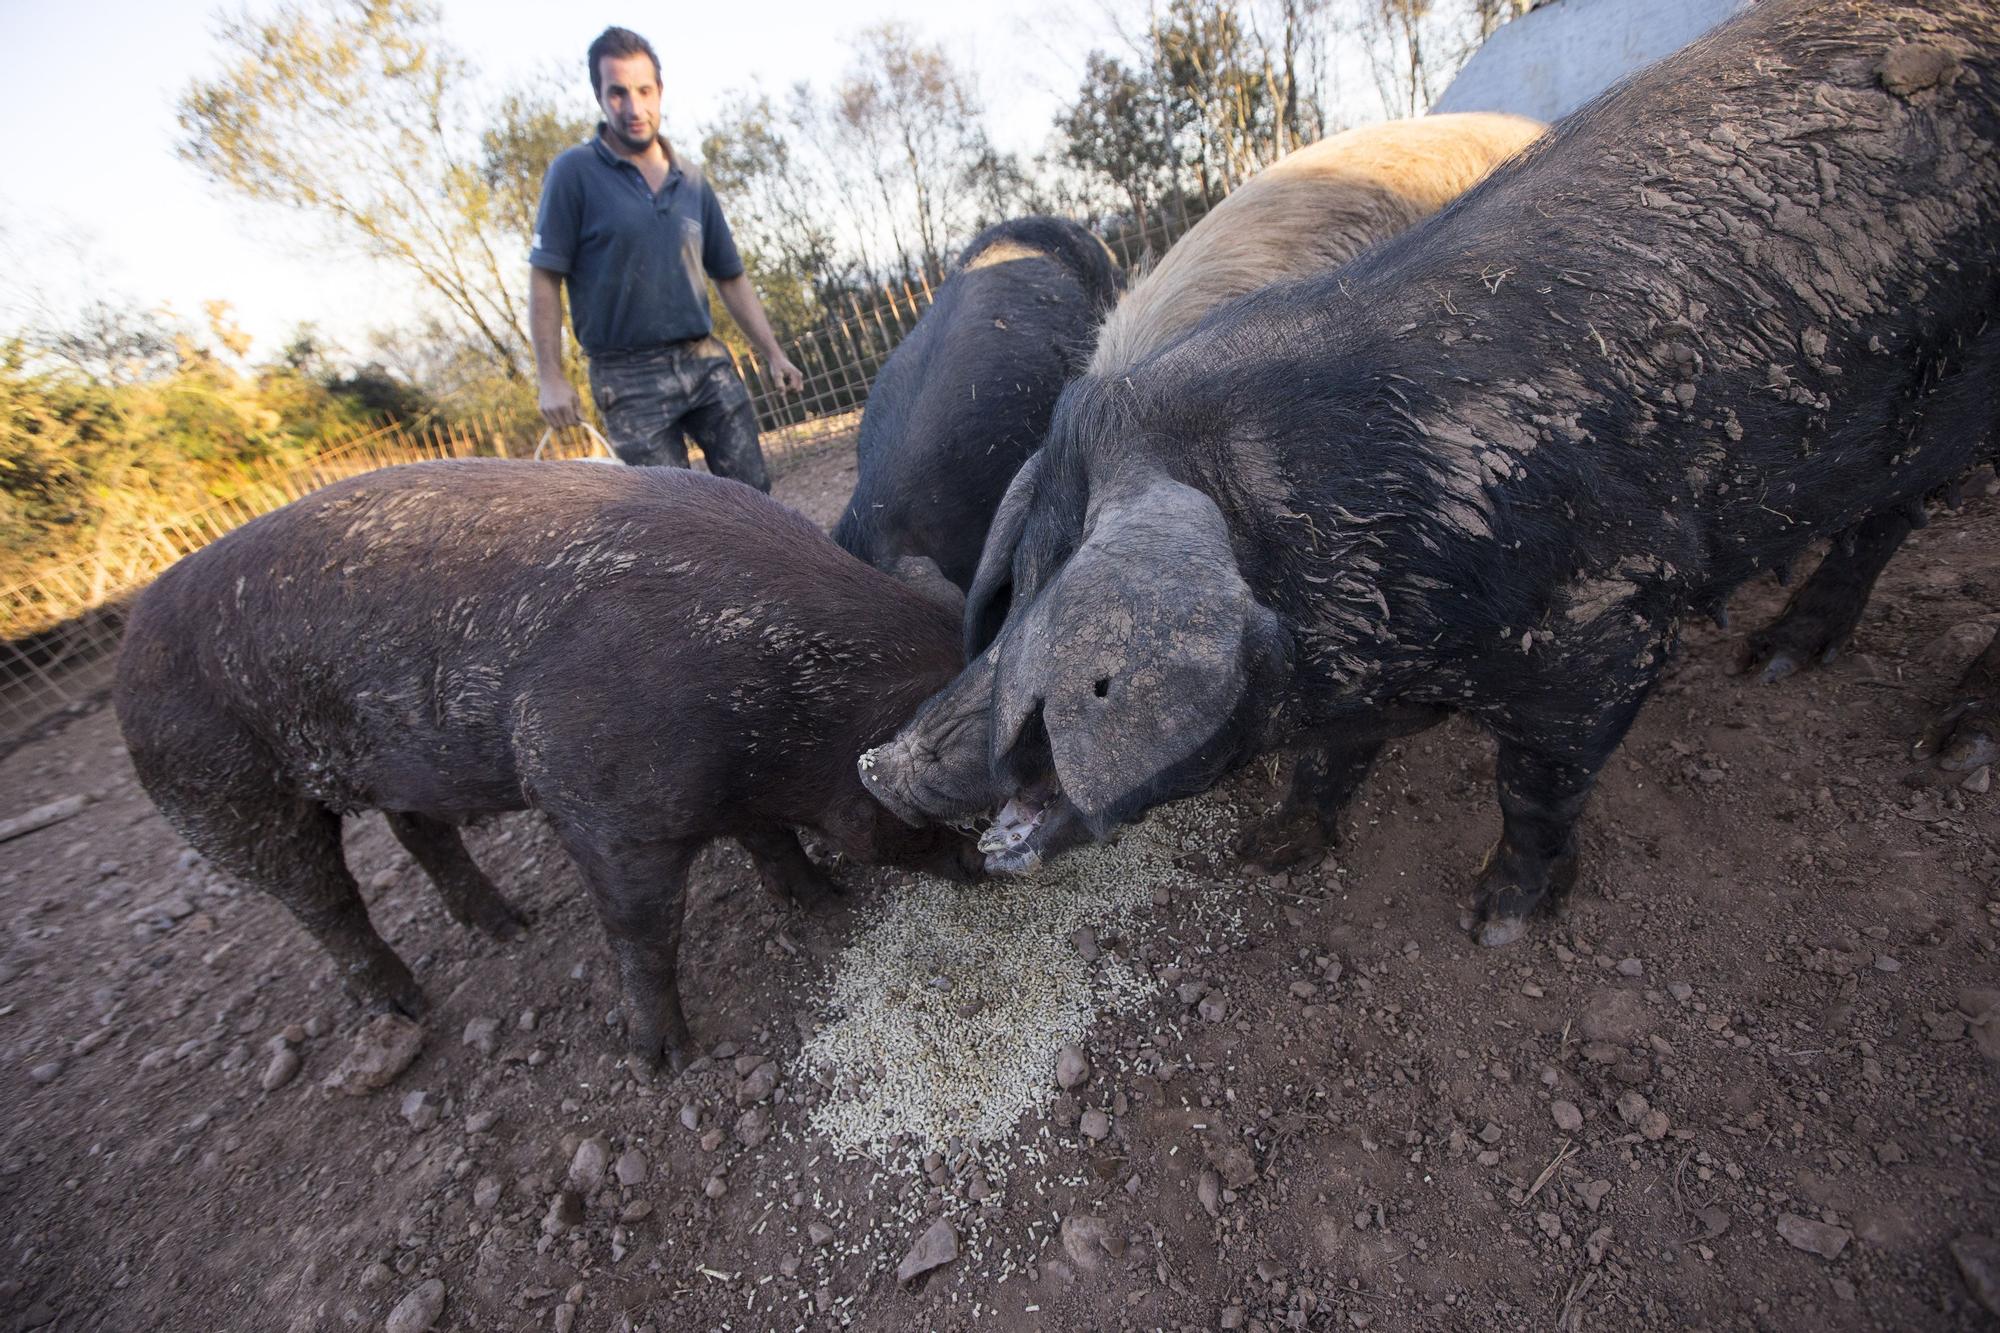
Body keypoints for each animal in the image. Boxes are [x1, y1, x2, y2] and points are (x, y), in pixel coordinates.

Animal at [117, 462, 976, 1064]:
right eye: (958, 808)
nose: (995, 869)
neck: (784, 703)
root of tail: (129, 644)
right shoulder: (595, 800)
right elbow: (644, 930)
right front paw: (666, 1060)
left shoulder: (736, 794)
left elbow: (771, 841)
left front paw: (827, 903)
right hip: (226, 793)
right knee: (325, 902)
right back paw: (409, 1008)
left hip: (399, 763)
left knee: (419, 833)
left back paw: (509, 926)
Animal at [864, 0, 2000, 932]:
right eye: (1011, 593)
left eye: (1057, 642)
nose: (880, 759)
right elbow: (1332, 757)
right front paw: (1264, 853)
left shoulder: (1604, 623)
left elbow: (1535, 779)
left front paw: (1493, 920)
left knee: (1889, 528)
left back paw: (1919, 727)